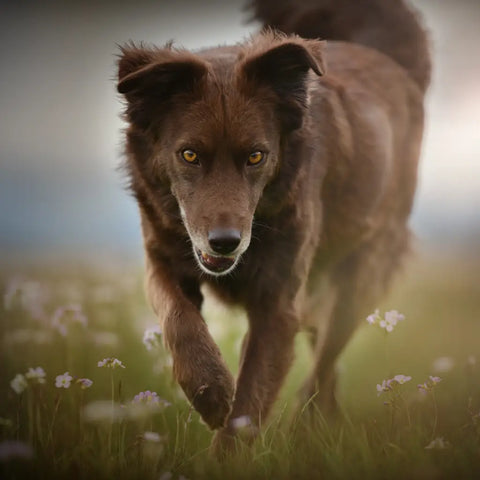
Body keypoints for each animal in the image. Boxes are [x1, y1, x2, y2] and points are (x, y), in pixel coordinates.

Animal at [116, 0, 432, 450]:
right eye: (189, 155)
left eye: (256, 156)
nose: (226, 243)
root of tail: (387, 58)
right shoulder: (162, 259)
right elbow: (179, 319)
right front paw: (211, 390)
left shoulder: (278, 303)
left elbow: (249, 403)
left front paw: (225, 451)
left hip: (360, 278)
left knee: (324, 360)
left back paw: (306, 426)